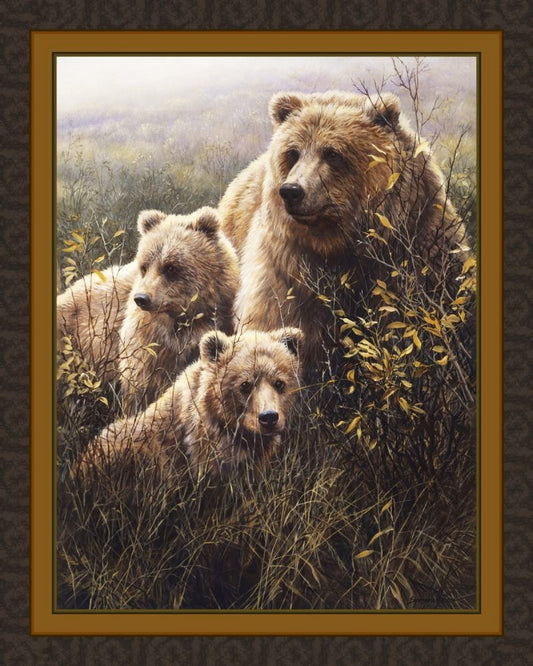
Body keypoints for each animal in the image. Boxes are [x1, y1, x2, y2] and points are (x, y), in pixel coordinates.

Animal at [218, 91, 471, 374]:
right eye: (293, 152)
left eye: (331, 153)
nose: (291, 191)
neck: (339, 243)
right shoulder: (289, 269)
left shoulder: (419, 245)